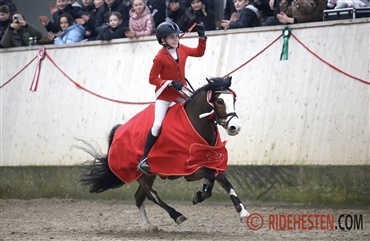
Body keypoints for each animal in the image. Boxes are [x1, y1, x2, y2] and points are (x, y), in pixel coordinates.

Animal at [79, 76, 250, 230]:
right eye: (219, 101)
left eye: (234, 99)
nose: (235, 127)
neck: (195, 125)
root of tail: (119, 130)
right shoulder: (189, 170)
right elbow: (210, 176)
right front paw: (199, 195)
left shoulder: (213, 162)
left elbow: (225, 183)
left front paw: (243, 212)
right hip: (138, 173)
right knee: (150, 194)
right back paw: (176, 215)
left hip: (149, 175)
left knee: (139, 197)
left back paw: (147, 225)